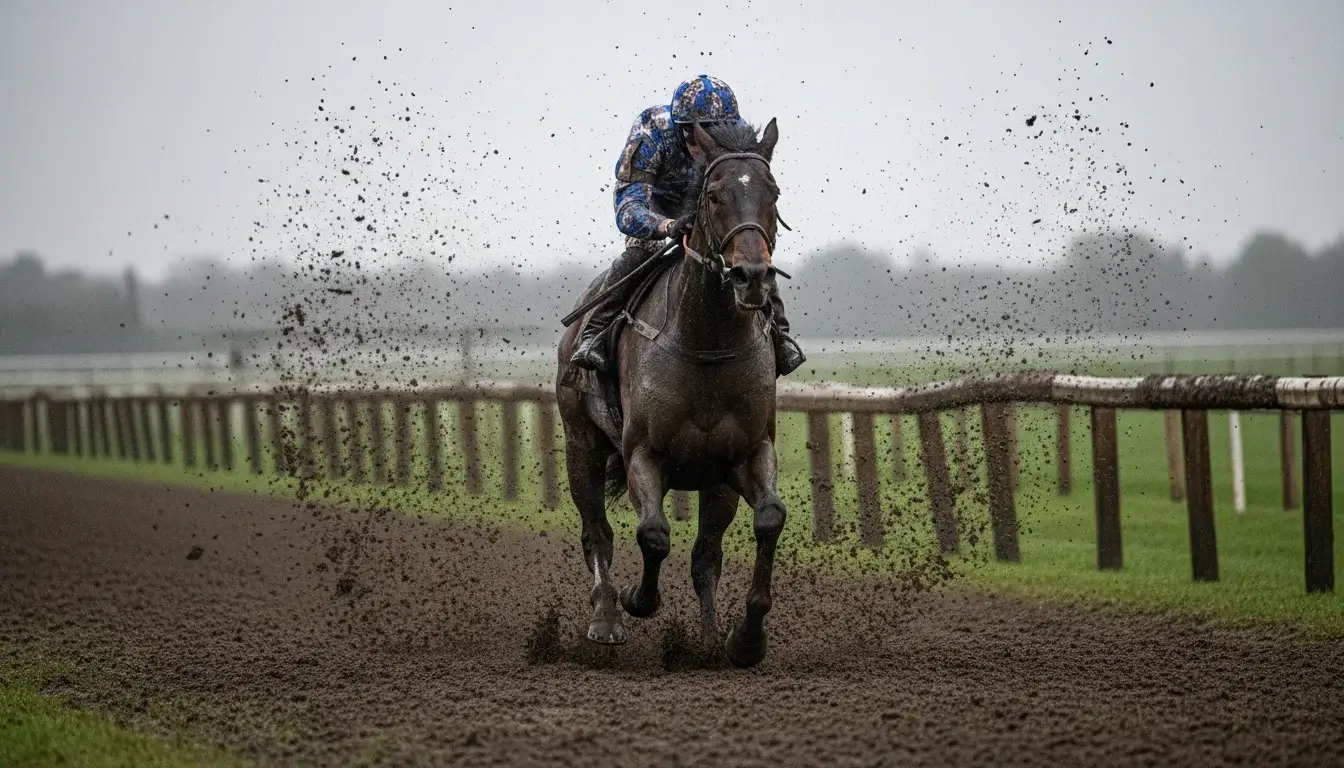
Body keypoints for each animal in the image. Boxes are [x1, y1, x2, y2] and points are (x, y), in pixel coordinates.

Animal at [556, 118, 788, 668]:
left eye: (772, 192)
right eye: (715, 195)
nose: (752, 276)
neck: (705, 345)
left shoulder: (746, 453)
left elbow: (768, 519)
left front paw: (744, 639)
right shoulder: (643, 452)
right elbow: (654, 534)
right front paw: (637, 600)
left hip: (715, 480)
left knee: (706, 555)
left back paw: (707, 640)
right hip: (581, 444)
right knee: (596, 533)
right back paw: (606, 618)